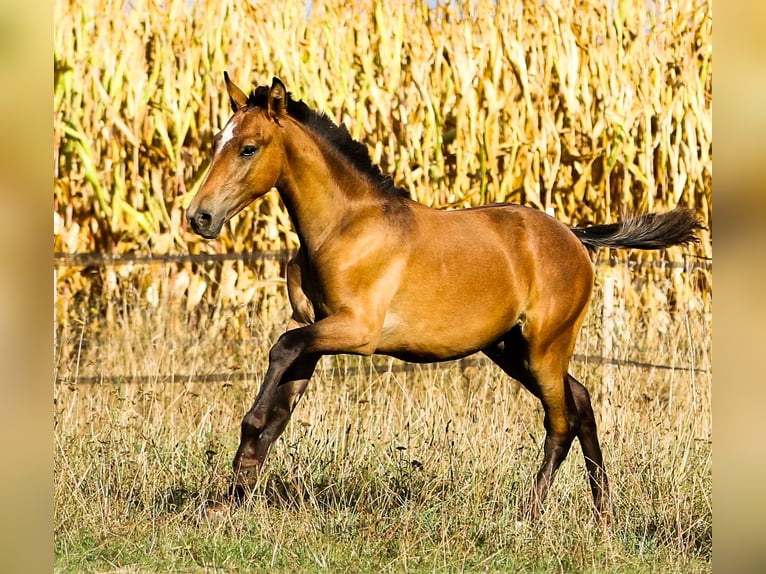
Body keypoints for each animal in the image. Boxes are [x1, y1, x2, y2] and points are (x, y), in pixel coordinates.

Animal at [186, 73, 704, 520]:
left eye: (249, 148)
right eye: (215, 143)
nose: (199, 217)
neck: (344, 227)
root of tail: (576, 237)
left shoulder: (356, 331)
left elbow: (280, 352)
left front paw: (243, 454)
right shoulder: (317, 328)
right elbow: (283, 402)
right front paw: (233, 494)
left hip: (544, 348)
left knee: (561, 422)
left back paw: (529, 514)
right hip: (510, 348)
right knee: (581, 400)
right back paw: (602, 512)